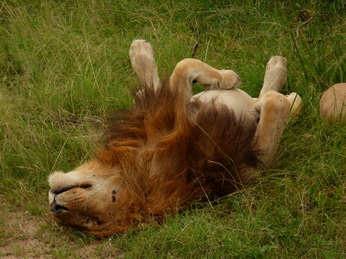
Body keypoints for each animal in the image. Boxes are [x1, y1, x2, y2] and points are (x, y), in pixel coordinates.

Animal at [47, 40, 302, 238]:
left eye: (113, 195)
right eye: (91, 221)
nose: (56, 206)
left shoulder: (175, 115)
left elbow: (183, 67)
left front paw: (226, 78)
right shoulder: (247, 166)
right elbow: (274, 105)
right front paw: (278, 101)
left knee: (152, 86)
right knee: (271, 103)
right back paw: (286, 97)